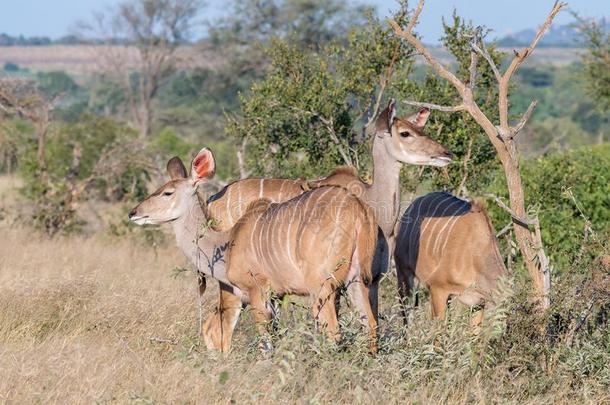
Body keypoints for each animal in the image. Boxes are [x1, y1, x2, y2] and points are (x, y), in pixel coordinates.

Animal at [128, 148, 378, 350]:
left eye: (167, 192)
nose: (134, 212)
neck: (227, 243)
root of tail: (358, 209)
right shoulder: (275, 297)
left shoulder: (258, 292)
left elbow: (265, 343)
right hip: (356, 280)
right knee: (371, 324)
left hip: (322, 287)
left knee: (333, 330)